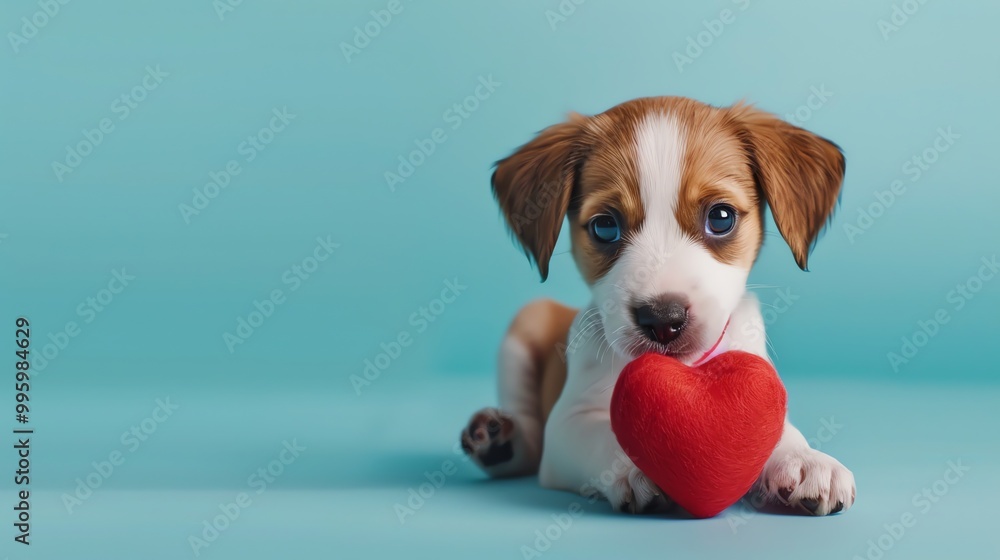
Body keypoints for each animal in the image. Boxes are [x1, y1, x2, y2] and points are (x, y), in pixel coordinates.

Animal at [464, 96, 856, 516]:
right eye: (605, 226)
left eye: (721, 217)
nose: (663, 319)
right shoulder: (566, 426)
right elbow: (603, 434)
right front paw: (636, 466)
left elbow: (778, 429)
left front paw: (804, 459)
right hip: (528, 322)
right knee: (529, 433)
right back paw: (498, 441)